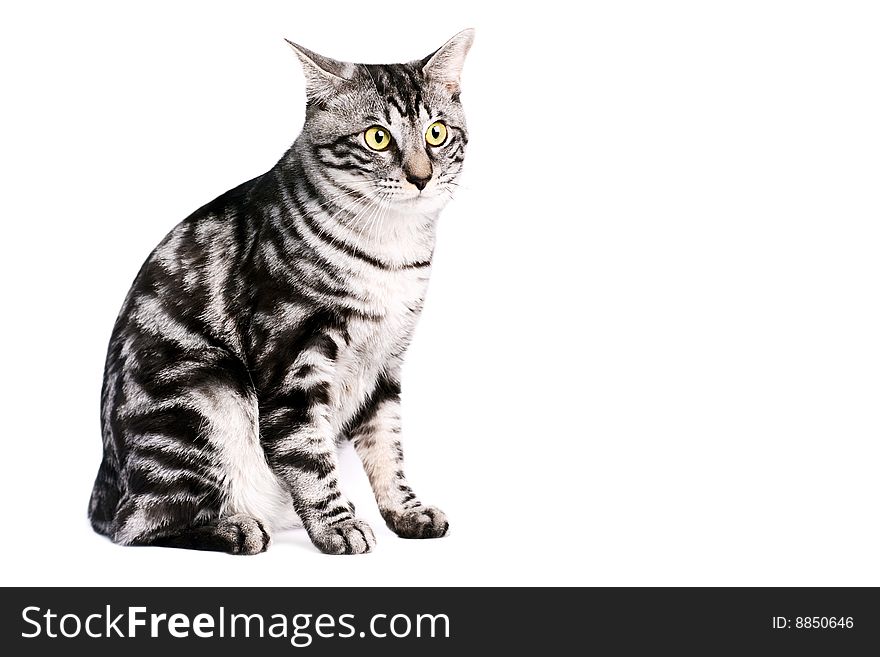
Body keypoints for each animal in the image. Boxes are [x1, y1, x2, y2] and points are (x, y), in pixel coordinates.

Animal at [87, 29, 474, 552]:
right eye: (377, 137)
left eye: (437, 133)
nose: (421, 176)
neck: (391, 250)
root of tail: (102, 489)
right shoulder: (292, 358)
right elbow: (307, 455)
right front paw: (337, 525)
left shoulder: (386, 362)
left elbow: (387, 448)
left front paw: (405, 511)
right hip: (208, 393)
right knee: (139, 523)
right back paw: (238, 527)